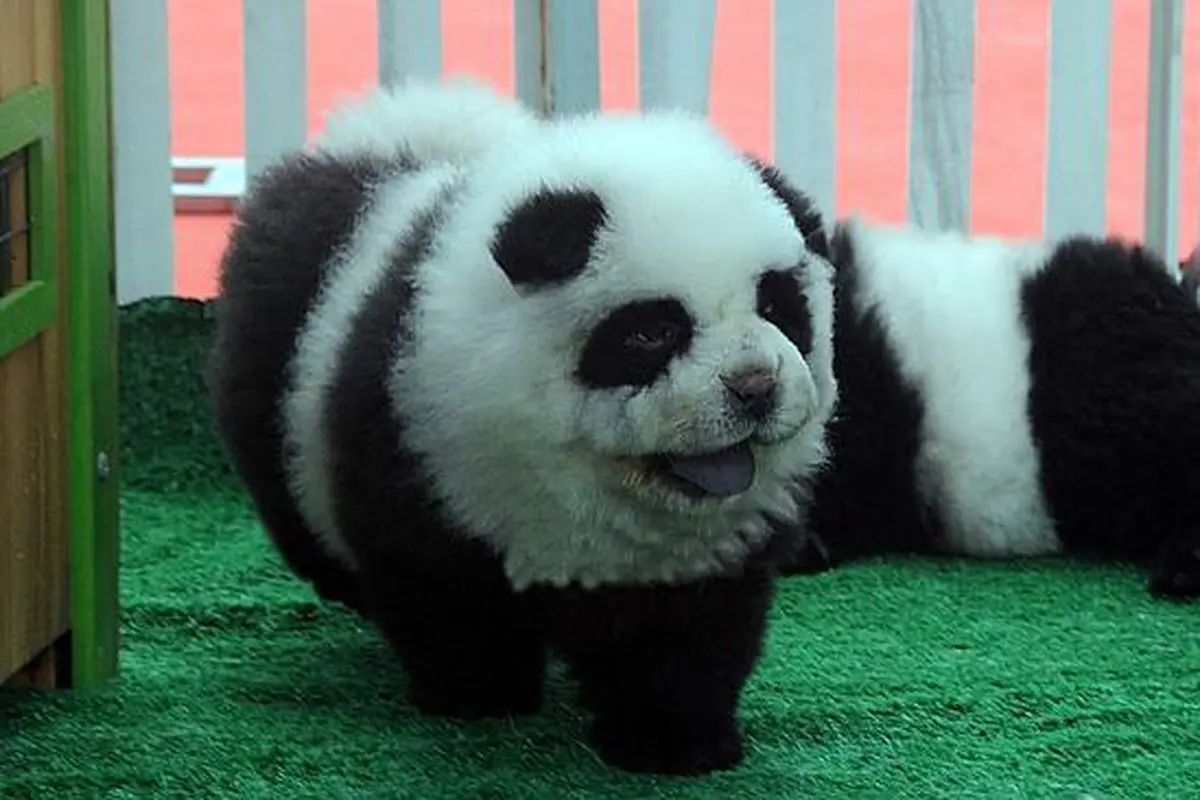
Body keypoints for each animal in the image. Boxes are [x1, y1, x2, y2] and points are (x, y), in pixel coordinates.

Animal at [207, 79, 838, 776]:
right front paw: (478, 694)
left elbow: (688, 635)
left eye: (776, 306)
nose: (756, 387)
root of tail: (380, 143)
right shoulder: (431, 448)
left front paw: (677, 739)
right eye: (652, 331)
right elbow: (446, 591)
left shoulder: (707, 545)